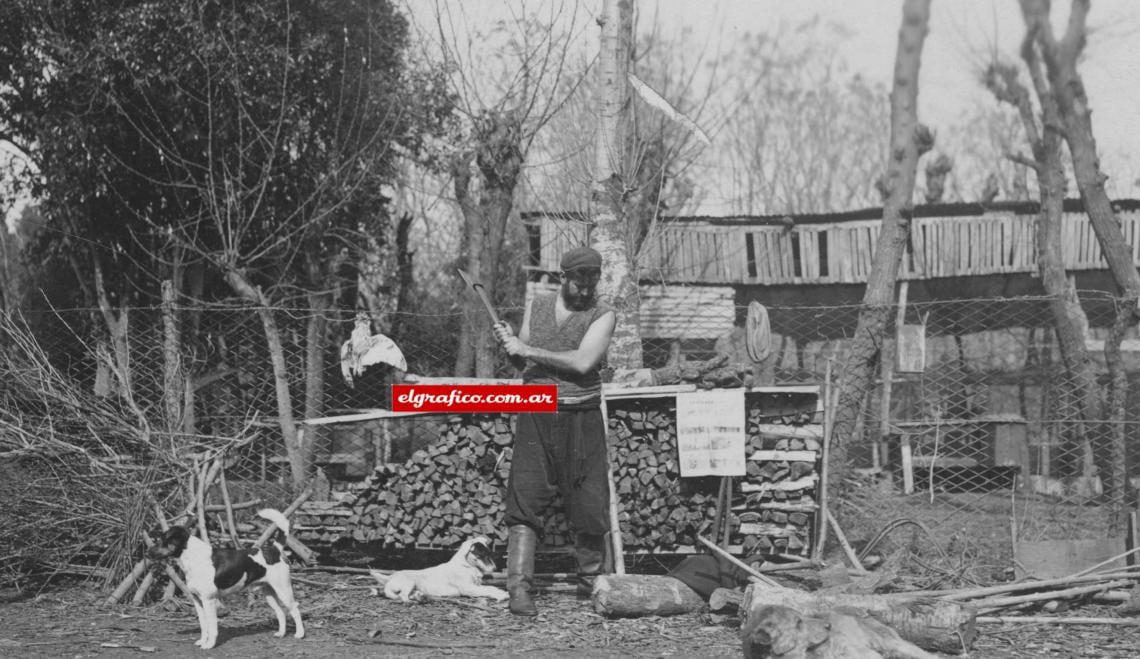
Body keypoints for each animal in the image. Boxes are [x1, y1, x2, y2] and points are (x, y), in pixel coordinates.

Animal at [149, 508, 305, 647]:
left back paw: (300, 634)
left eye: (163, 540)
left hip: (283, 591)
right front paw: (202, 641)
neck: (193, 558)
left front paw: (209, 645)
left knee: (295, 610)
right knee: (281, 612)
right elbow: (203, 624)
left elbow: (212, 625)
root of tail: (275, 550)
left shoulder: (209, 600)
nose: (147, 552)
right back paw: (281, 633)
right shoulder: (197, 601)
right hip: (269, 593)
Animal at [371, 533, 506, 601]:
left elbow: (491, 587)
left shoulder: (476, 585)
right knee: (401, 596)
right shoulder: (469, 589)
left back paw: (419, 596)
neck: (466, 566)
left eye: (490, 553)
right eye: (482, 554)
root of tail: (389, 578)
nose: (495, 569)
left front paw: (501, 592)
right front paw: (502, 595)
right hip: (410, 582)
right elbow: (487, 590)